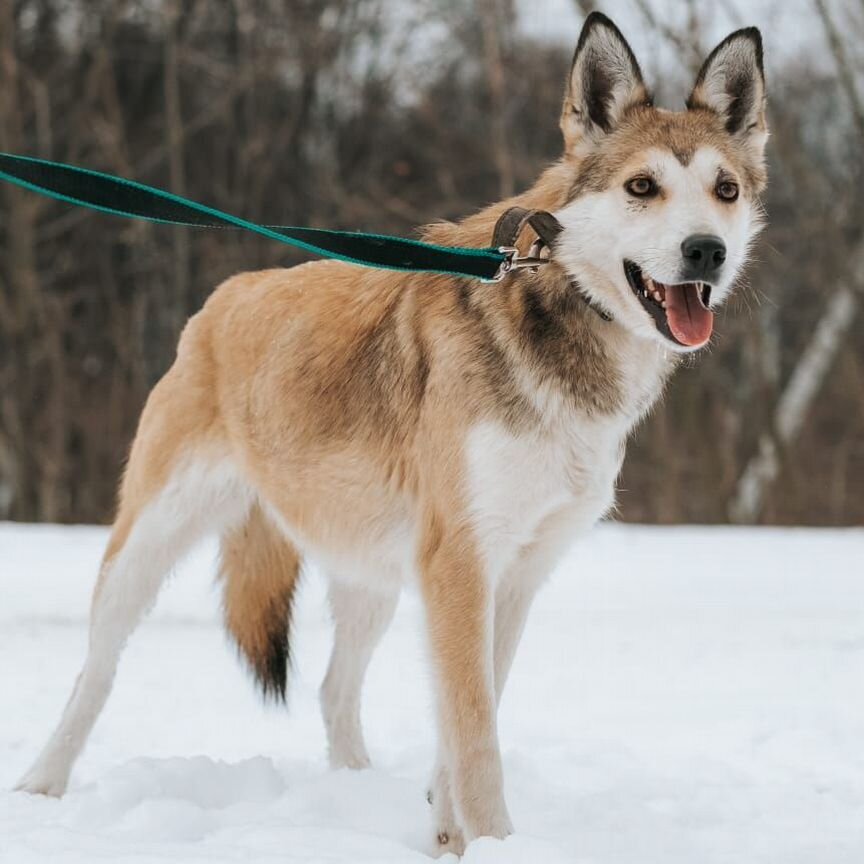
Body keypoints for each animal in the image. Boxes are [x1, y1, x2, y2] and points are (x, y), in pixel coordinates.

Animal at [16, 13, 768, 856]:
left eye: (725, 190)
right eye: (642, 187)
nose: (707, 251)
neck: (555, 309)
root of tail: (224, 296)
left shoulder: (511, 577)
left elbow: (465, 724)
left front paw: (445, 838)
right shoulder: (461, 565)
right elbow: (475, 741)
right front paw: (494, 844)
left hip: (372, 578)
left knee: (332, 689)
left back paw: (353, 790)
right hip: (145, 546)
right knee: (94, 675)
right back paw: (43, 784)